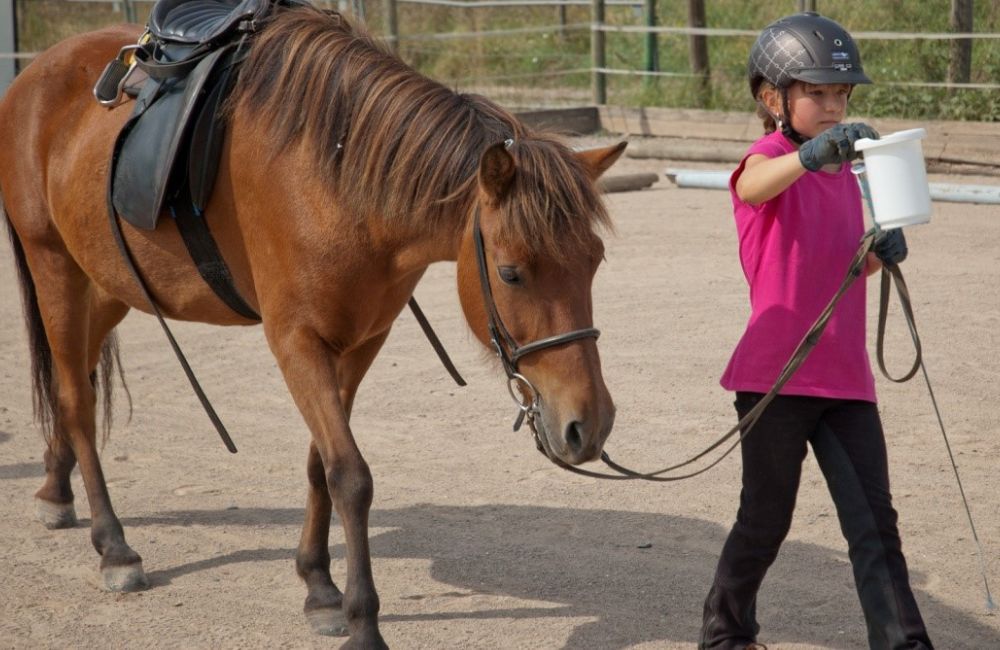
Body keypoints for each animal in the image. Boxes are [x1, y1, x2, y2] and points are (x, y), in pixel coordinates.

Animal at [0, 5, 620, 644]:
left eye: (595, 261)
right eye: (511, 272)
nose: (589, 424)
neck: (337, 180)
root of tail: (36, 71)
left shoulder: (360, 342)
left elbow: (320, 464)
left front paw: (319, 586)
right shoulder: (296, 342)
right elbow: (350, 474)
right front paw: (362, 621)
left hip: (105, 281)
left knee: (76, 381)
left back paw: (55, 487)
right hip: (55, 267)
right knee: (75, 398)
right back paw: (114, 547)